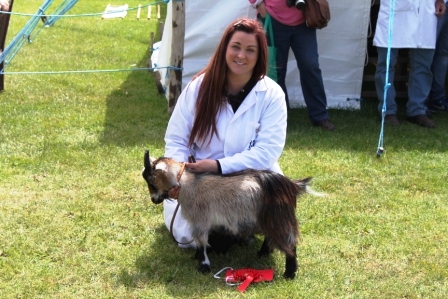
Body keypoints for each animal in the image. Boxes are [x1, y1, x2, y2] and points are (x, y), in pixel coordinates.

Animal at [140, 151, 318, 280]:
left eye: (152, 179)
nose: (154, 200)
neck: (188, 184)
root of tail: (290, 185)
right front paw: (197, 258)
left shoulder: (200, 219)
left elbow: (201, 242)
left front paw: (203, 266)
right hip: (268, 217)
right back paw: (262, 253)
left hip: (278, 216)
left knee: (289, 243)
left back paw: (289, 273)